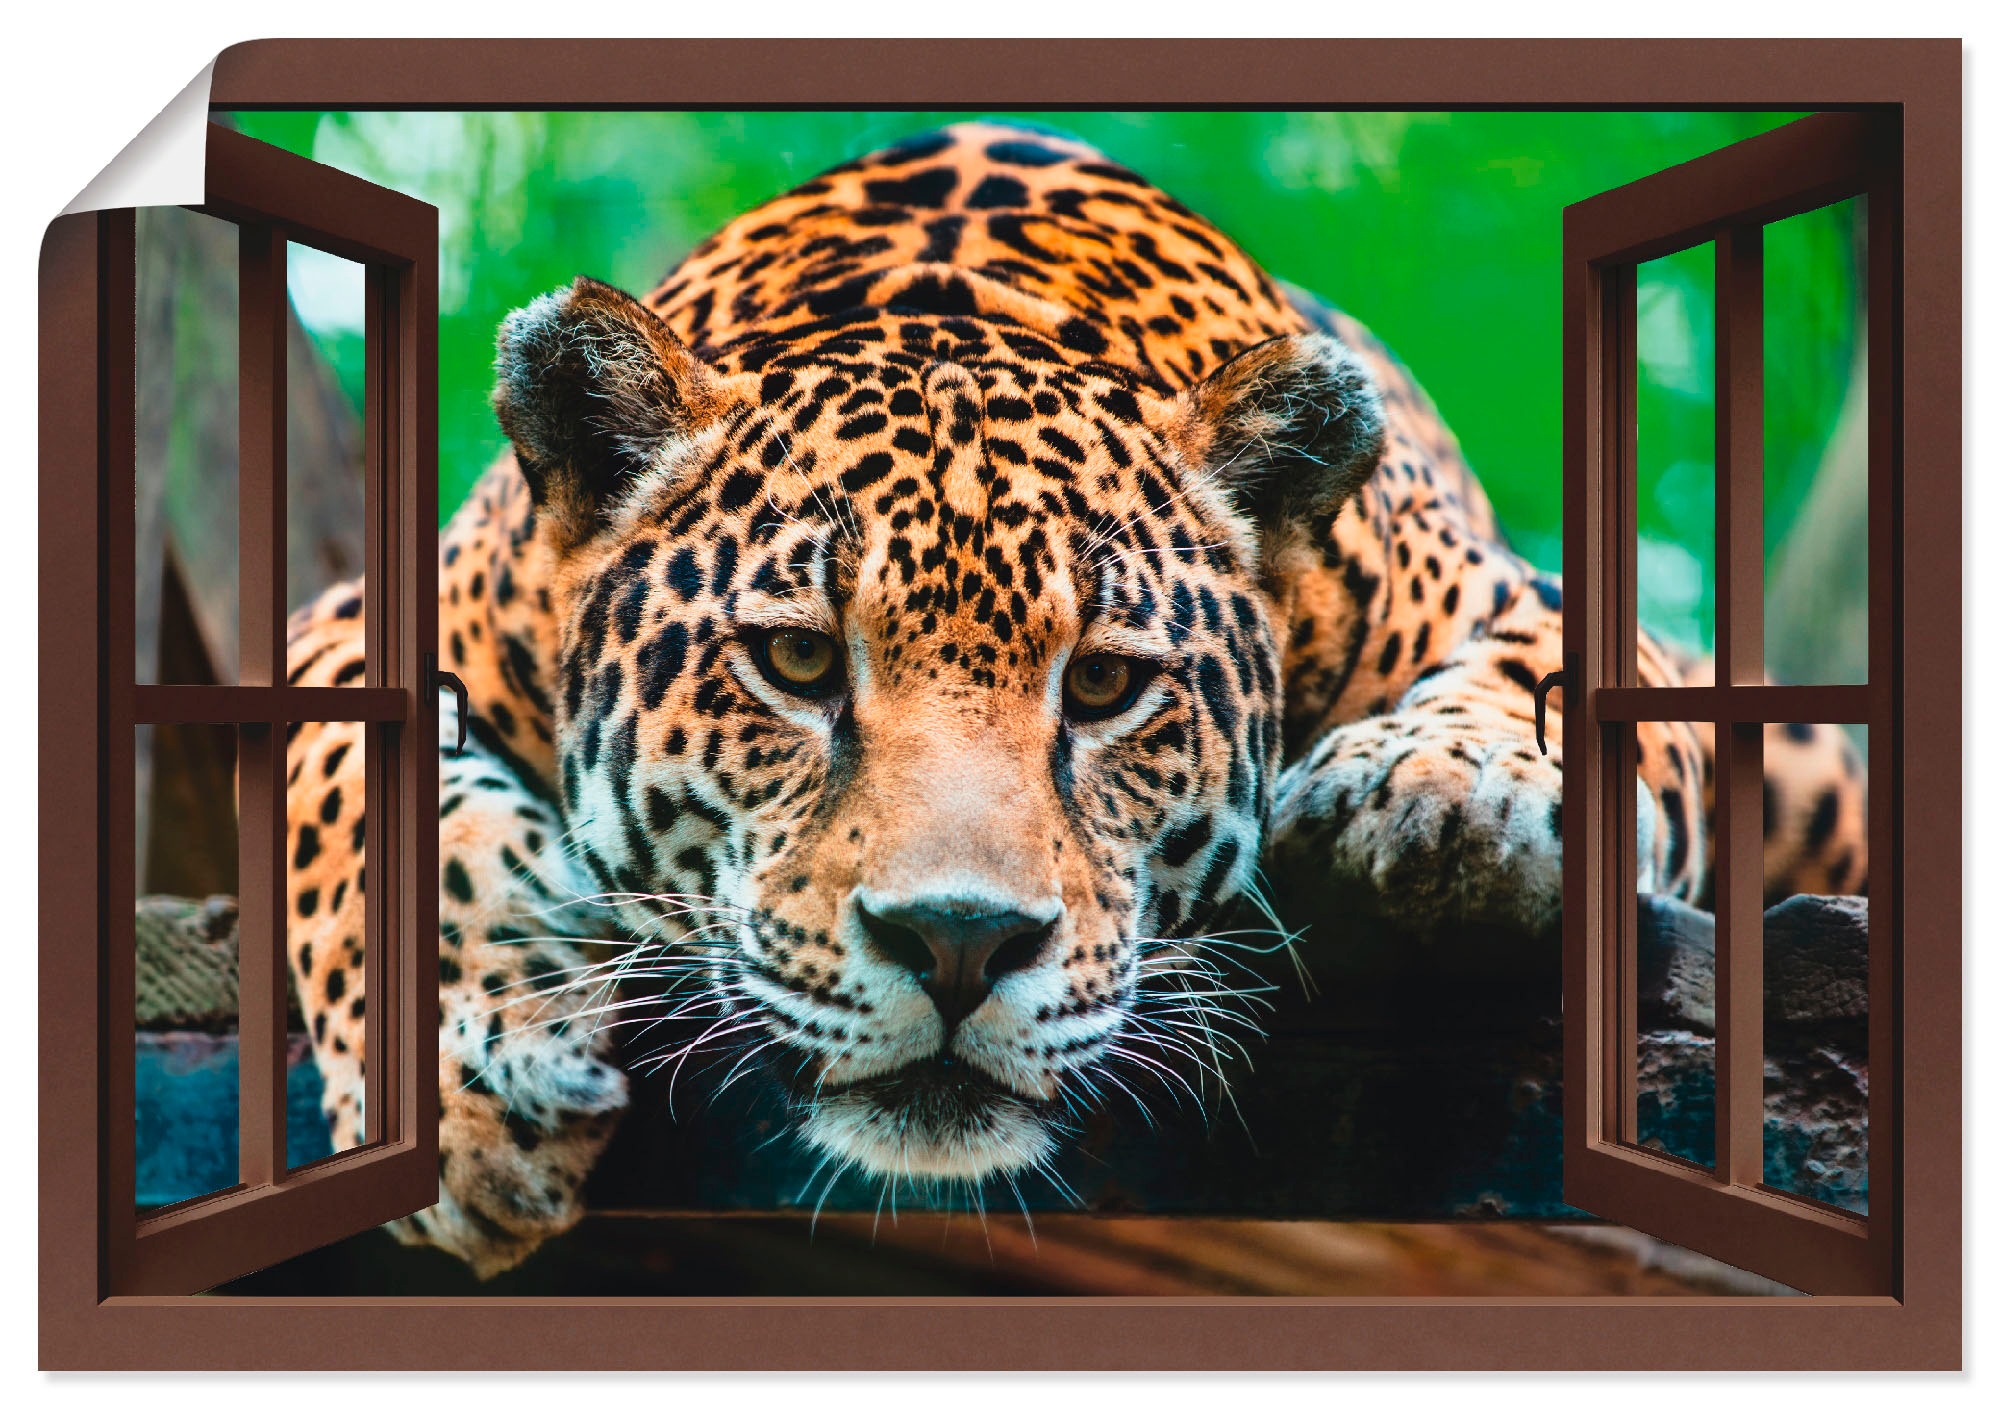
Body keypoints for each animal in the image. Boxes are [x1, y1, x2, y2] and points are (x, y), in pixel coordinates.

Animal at [281, 121, 1868, 1277]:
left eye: (1105, 685)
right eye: (796, 663)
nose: (957, 942)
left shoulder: (1519, 595)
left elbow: (1556, 692)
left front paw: (1438, 792)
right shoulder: (366, 612)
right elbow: (356, 801)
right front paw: (470, 1089)